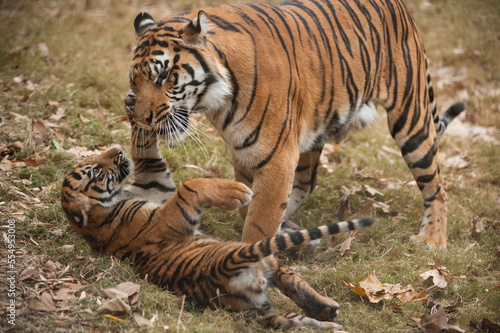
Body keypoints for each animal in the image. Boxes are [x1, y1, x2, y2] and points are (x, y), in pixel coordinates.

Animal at [61, 121, 376, 326]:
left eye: (97, 157)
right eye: (96, 170)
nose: (115, 151)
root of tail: (224, 271)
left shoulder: (156, 185)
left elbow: (149, 158)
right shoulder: (166, 219)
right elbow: (189, 185)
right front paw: (236, 191)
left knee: (289, 309)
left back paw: (326, 313)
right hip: (261, 260)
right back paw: (329, 315)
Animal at [128, 0, 464, 246]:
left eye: (162, 76)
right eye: (134, 79)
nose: (141, 118)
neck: (218, 102)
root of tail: (401, 7)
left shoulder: (275, 156)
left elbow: (259, 221)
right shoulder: (246, 152)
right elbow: (251, 205)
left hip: (412, 118)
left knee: (436, 185)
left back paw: (432, 239)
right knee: (305, 182)